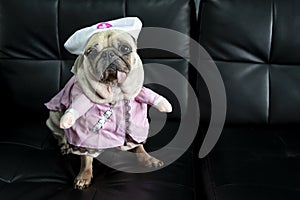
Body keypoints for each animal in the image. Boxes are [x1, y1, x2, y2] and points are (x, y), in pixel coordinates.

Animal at [43, 27, 172, 189]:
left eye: (125, 48)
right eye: (91, 52)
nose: (108, 53)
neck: (114, 89)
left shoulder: (137, 123)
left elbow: (139, 145)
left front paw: (148, 158)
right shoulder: (84, 130)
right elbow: (86, 156)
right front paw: (84, 175)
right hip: (54, 117)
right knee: (60, 134)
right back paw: (65, 145)